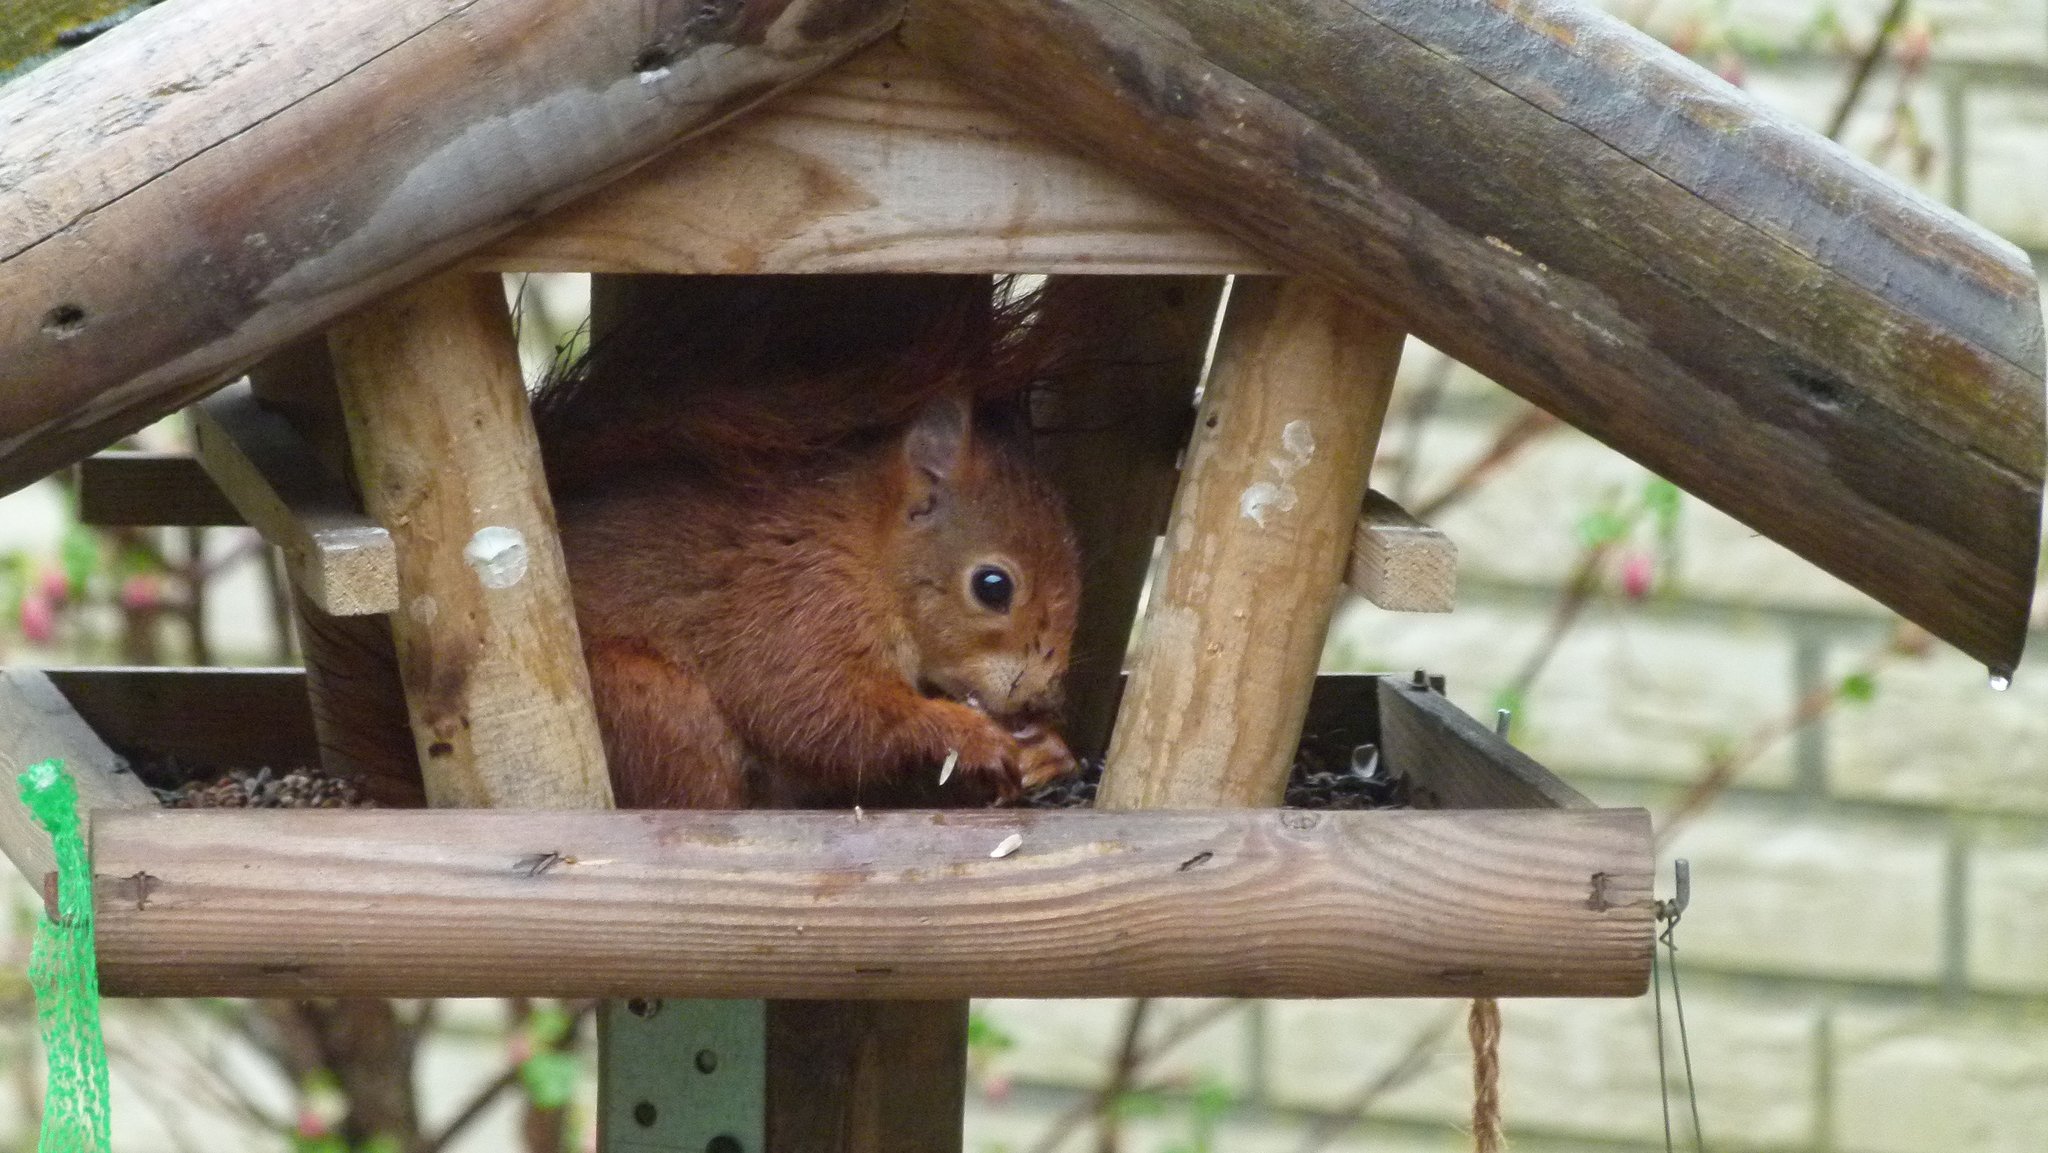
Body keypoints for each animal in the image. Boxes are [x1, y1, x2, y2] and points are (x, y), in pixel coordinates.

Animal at [534, 276, 1082, 809]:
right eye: (993, 587)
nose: (1042, 700)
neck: (870, 556)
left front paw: (1049, 750)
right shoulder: (800, 604)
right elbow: (822, 712)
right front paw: (973, 737)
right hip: (654, 707)